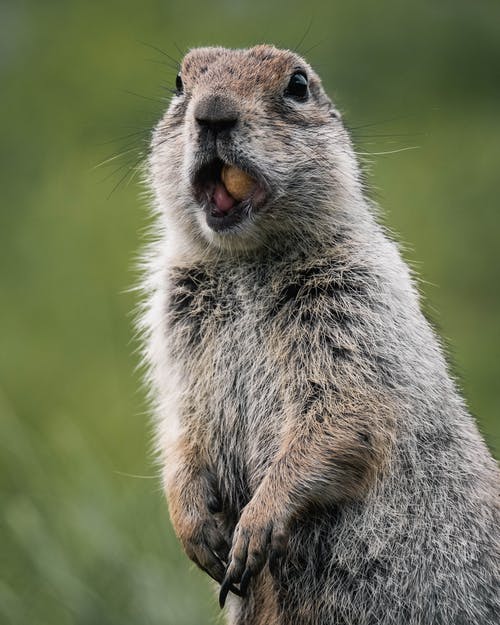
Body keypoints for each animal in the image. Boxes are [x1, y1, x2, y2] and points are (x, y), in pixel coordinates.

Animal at [140, 45, 500, 624]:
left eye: (298, 86)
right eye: (178, 83)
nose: (212, 112)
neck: (245, 262)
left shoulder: (355, 300)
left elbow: (343, 412)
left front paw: (256, 525)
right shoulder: (174, 323)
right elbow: (181, 421)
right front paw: (194, 525)